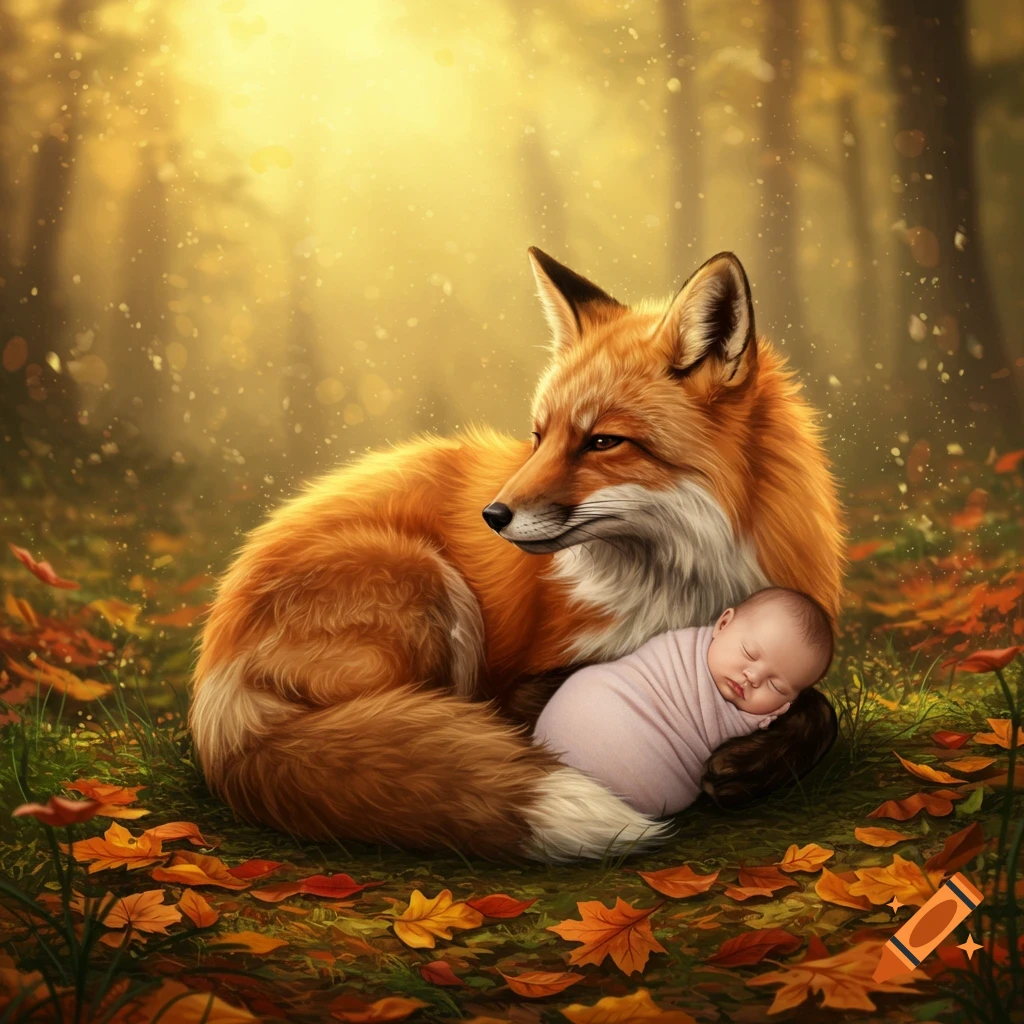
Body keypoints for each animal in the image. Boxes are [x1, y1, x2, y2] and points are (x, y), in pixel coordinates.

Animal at [188, 248, 845, 863]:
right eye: (538, 435)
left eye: (603, 441)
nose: (493, 515)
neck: (682, 581)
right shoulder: (520, 684)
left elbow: (819, 704)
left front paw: (761, 758)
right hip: (430, 586)